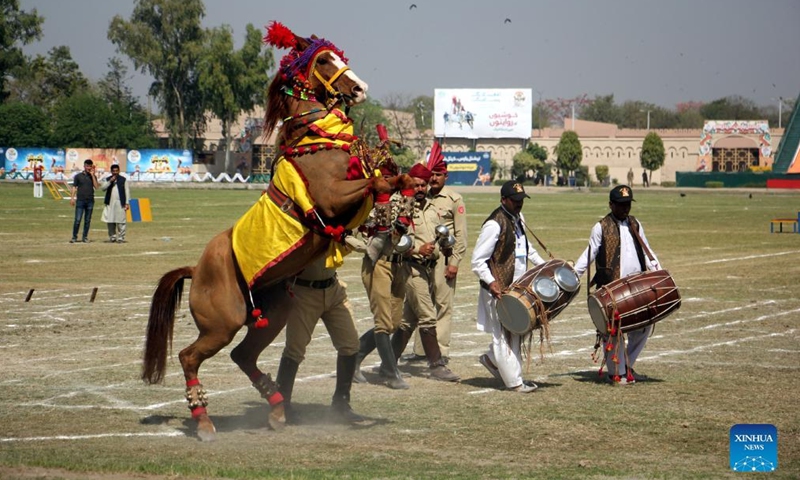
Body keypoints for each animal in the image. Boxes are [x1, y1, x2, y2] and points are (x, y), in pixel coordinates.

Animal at [141, 22, 412, 442]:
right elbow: (376, 182)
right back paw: (204, 421)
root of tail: (197, 270)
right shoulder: (332, 199)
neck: (317, 141)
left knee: (242, 355)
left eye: (340, 56)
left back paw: (277, 408)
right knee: (189, 357)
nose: (360, 88)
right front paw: (397, 201)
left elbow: (385, 182)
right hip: (222, 324)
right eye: (324, 60)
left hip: (273, 312)